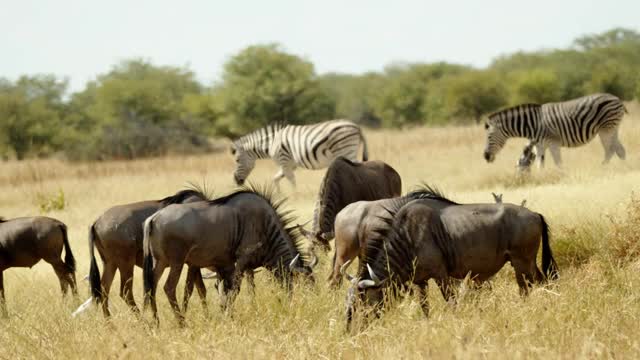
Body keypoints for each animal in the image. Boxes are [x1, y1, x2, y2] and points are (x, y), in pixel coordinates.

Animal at [230, 119, 370, 188]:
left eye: (237, 160)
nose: (236, 181)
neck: (271, 144)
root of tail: (357, 126)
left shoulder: (284, 161)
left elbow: (291, 181)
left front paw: (294, 197)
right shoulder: (289, 165)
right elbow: (275, 179)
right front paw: (280, 198)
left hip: (346, 150)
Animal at [484, 92, 624, 167]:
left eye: (489, 137)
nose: (485, 156)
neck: (533, 124)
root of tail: (616, 98)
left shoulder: (553, 143)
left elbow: (558, 164)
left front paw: (562, 178)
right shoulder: (540, 146)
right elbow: (540, 165)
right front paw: (540, 180)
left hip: (606, 129)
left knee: (610, 150)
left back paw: (603, 167)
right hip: (613, 128)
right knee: (620, 150)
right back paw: (624, 168)